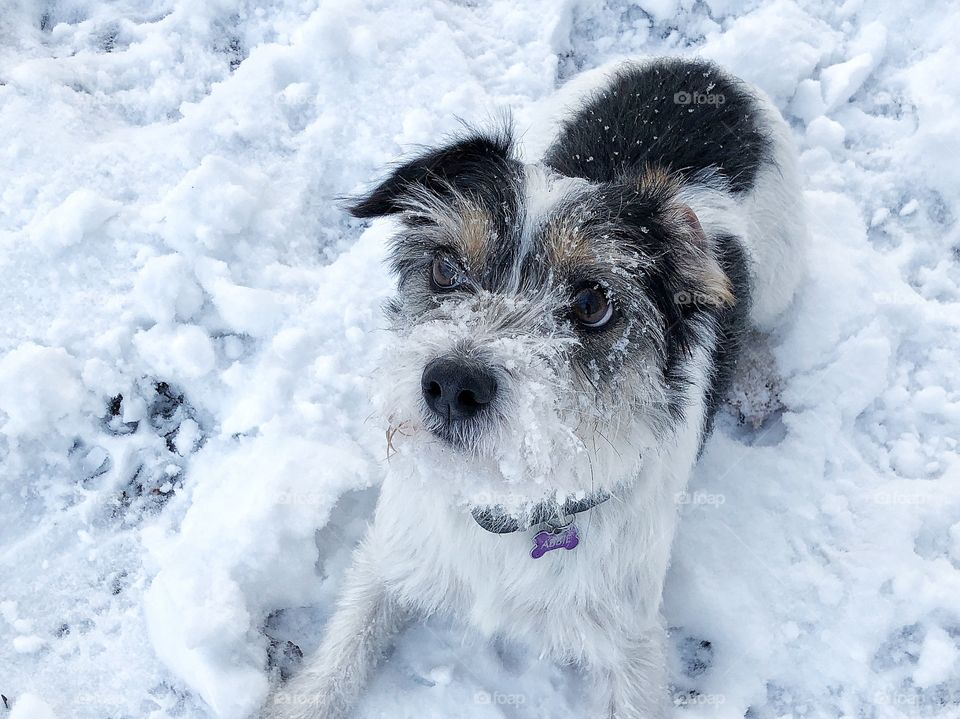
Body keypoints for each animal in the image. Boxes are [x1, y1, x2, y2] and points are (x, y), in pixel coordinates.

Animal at [260, 57, 804, 719]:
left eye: (593, 303)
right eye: (444, 268)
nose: (452, 384)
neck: (509, 503)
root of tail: (699, 68)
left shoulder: (629, 646)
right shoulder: (393, 558)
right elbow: (343, 650)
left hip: (781, 272)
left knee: (761, 325)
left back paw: (754, 382)